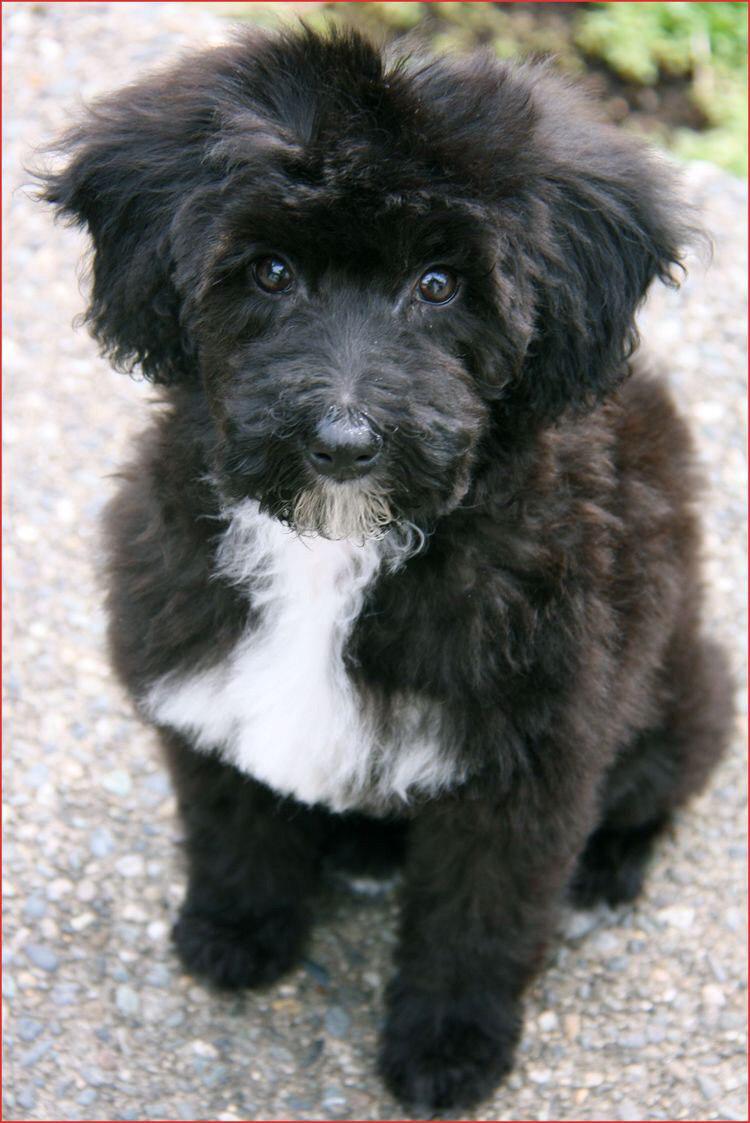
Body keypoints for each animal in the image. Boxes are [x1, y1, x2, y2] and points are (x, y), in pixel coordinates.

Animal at [40, 28, 732, 1114]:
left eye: (441, 284)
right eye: (271, 271)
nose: (344, 441)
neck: (336, 550)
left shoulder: (528, 760)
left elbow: (478, 916)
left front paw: (450, 1045)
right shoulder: (195, 662)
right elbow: (232, 816)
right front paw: (239, 929)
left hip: (688, 684)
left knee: (659, 783)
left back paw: (606, 869)